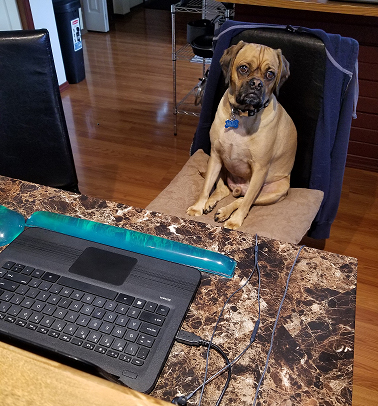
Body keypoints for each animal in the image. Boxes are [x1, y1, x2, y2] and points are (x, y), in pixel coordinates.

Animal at [188, 42, 296, 232]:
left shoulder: (260, 169)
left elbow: (245, 203)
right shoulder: (215, 156)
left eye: (270, 74)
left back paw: (225, 212)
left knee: (242, 199)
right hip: (219, 165)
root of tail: (239, 187)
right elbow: (206, 187)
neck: (242, 115)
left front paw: (235, 221)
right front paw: (197, 207)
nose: (256, 83)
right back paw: (211, 203)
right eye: (244, 68)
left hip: (276, 190)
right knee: (223, 190)